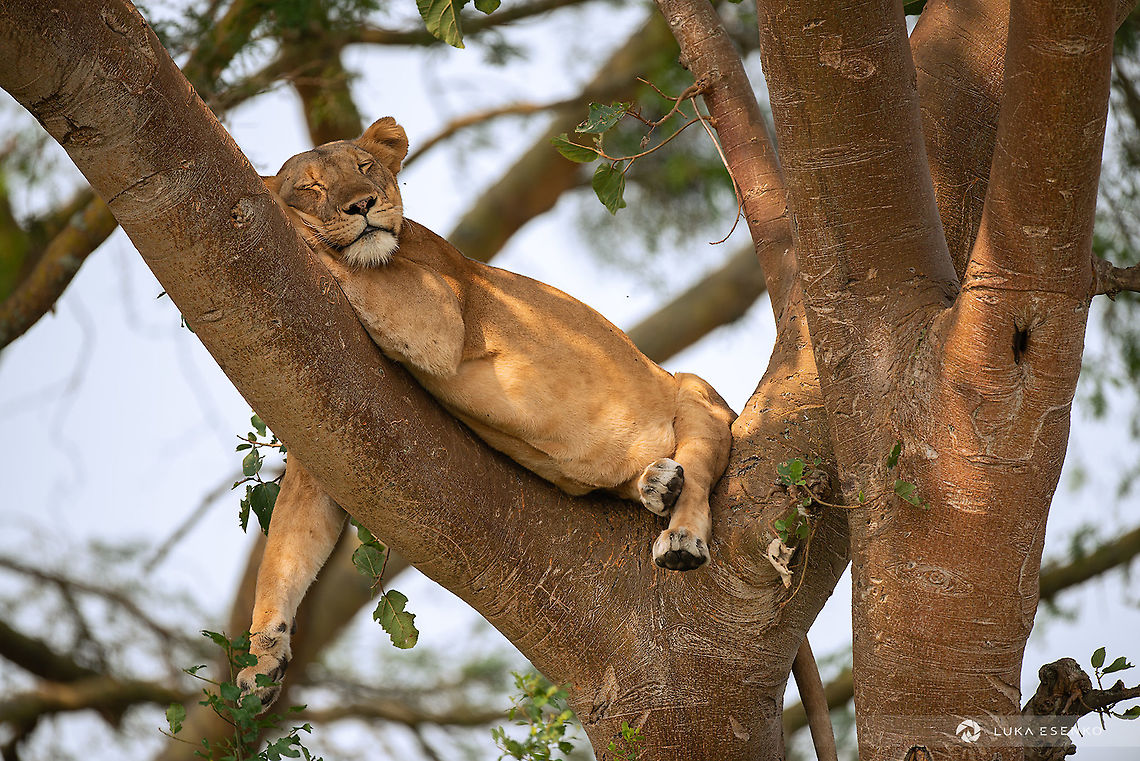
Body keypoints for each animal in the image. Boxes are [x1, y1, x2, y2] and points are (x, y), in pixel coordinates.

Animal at [237, 117, 737, 707]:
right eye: (312, 186)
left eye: (365, 168)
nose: (363, 205)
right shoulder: (321, 431)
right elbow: (287, 550)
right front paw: (262, 656)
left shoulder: (438, 307)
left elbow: (335, 256)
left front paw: (279, 207)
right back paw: (659, 483)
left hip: (695, 392)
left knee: (701, 476)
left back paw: (681, 533)